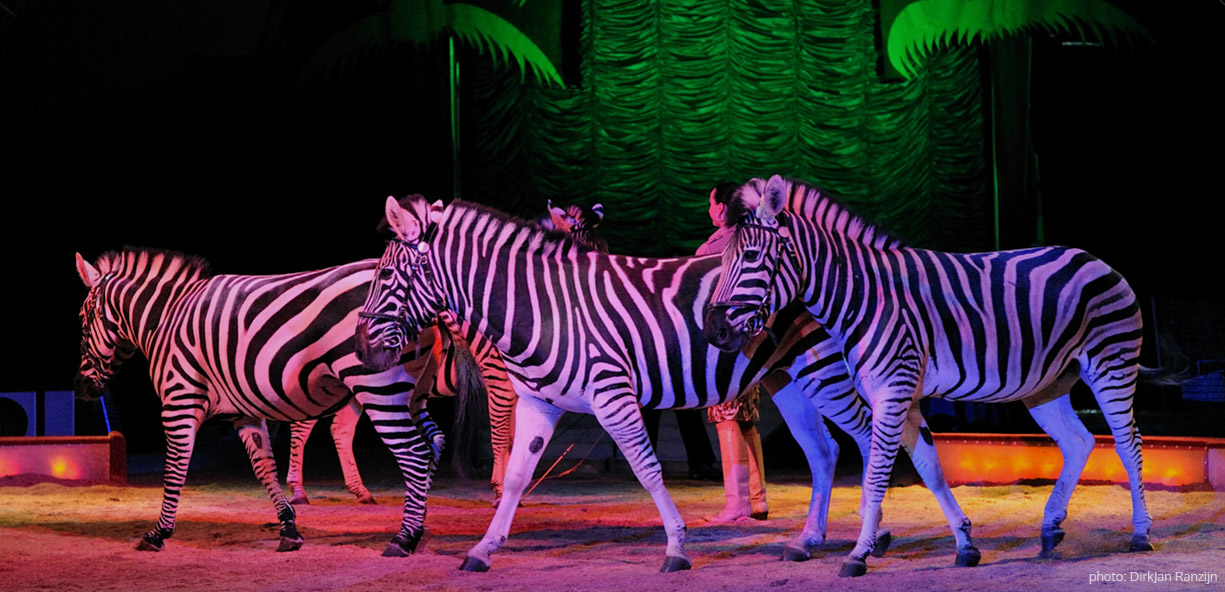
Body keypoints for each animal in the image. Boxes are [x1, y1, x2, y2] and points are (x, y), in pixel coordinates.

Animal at [74, 247, 473, 556]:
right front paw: (289, 529)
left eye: (82, 320)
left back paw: (404, 538)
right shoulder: (242, 412)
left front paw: (158, 533)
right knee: (426, 444)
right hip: (412, 392)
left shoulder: (179, 399)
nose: (82, 388)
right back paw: (415, 524)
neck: (167, 319)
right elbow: (263, 466)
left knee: (413, 454)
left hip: (375, 386)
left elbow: (174, 468)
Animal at [353, 195, 977, 572]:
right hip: (788, 378)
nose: (361, 348)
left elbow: (648, 468)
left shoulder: (613, 394)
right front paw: (484, 549)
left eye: (387, 274)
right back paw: (809, 541)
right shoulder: (539, 402)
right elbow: (514, 481)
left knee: (880, 439)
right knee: (825, 452)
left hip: (826, 370)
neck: (544, 306)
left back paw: (885, 539)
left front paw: (676, 546)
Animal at [703, 174, 1156, 577]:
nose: (713, 331)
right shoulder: (904, 396)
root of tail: (1095, 259)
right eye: (720, 259)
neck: (864, 296)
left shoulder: (893, 391)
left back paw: (1141, 534)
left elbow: (877, 474)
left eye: (750, 258)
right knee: (1078, 441)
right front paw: (965, 544)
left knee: (1128, 443)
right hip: (1048, 384)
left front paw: (859, 554)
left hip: (1112, 363)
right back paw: (1049, 528)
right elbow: (929, 469)